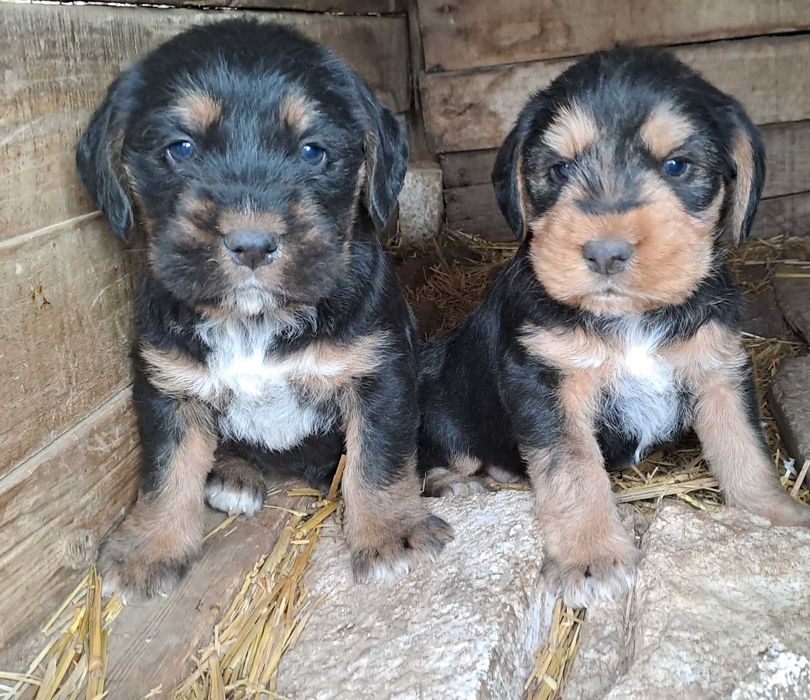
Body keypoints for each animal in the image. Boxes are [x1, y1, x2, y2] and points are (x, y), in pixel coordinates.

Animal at [77, 19, 452, 600]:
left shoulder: (380, 375)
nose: (251, 245)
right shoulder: (168, 386)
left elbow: (379, 460)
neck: (254, 320)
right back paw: (234, 474)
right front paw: (148, 549)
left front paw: (391, 535)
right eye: (180, 148)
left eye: (313, 151)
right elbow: (166, 470)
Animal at [417, 45, 810, 608]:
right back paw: (455, 484)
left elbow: (744, 447)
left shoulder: (718, 366)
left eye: (677, 165)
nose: (605, 253)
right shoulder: (545, 381)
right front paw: (591, 559)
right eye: (559, 169)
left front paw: (775, 516)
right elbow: (574, 470)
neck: (629, 315)